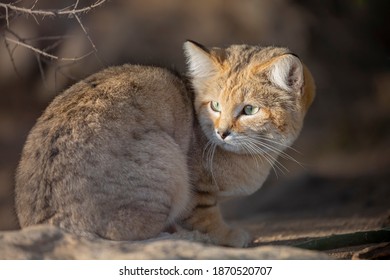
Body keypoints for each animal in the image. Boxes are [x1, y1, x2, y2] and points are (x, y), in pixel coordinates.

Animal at [13, 40, 316, 246]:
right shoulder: (197, 191)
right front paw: (225, 235)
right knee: (127, 241)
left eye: (250, 110)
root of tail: (51, 223)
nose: (222, 132)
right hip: (166, 158)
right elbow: (205, 217)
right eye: (216, 106)